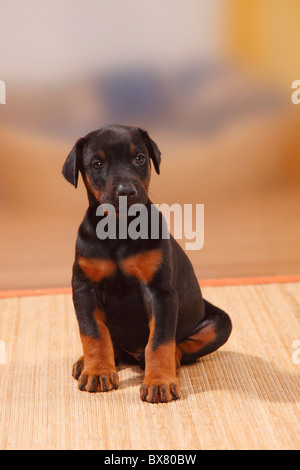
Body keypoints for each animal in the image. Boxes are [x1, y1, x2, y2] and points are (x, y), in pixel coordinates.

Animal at [62, 125, 232, 404]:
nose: (126, 191)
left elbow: (160, 341)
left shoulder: (159, 291)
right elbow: (94, 334)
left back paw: (171, 364)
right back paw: (85, 362)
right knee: (112, 344)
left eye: (140, 158)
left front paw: (159, 382)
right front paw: (97, 372)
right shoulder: (84, 288)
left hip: (219, 324)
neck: (119, 230)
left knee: (177, 346)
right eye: (97, 164)